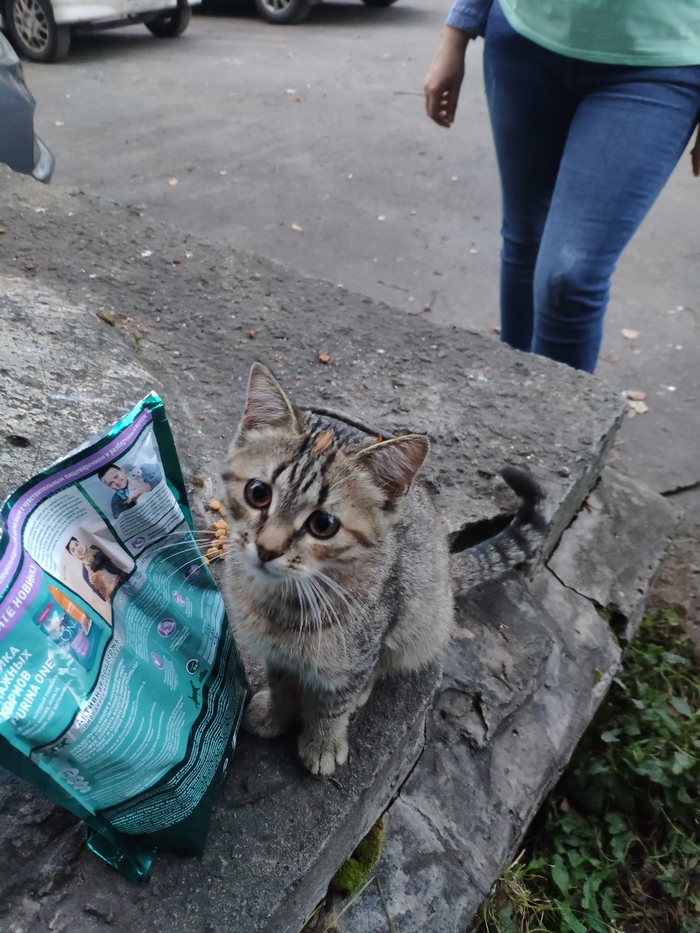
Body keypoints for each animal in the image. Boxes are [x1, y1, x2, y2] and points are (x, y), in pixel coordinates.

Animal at [222, 363, 545, 775]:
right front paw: (275, 716)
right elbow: (281, 684)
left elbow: (332, 705)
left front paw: (322, 744)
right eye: (258, 492)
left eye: (323, 524)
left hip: (416, 621)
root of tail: (448, 563)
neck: (285, 600)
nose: (266, 549)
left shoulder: (356, 656)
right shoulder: (278, 656)